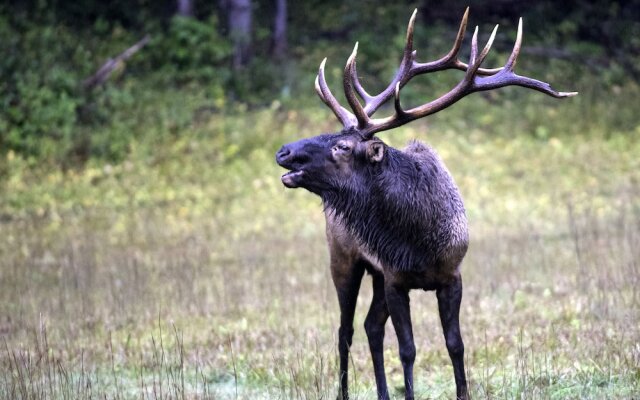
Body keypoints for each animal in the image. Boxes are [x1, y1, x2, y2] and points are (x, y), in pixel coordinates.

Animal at [276, 7, 576, 400]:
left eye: (341, 146)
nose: (284, 151)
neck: (419, 237)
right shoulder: (395, 279)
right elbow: (408, 350)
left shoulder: (451, 275)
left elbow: (455, 344)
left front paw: (464, 393)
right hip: (344, 259)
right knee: (345, 332)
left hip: (373, 274)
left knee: (371, 327)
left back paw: (383, 394)